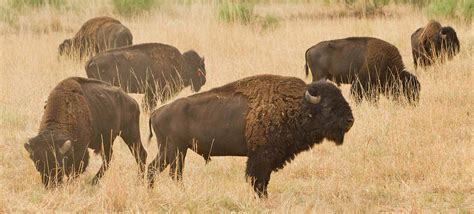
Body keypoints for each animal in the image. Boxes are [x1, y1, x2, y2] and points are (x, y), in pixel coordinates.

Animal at [146, 74, 354, 198]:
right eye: (327, 107)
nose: (350, 120)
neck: (296, 106)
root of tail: (156, 112)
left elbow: (263, 181)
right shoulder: (260, 157)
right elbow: (258, 181)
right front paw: (262, 199)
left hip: (179, 151)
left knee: (174, 174)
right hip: (170, 150)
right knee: (154, 169)